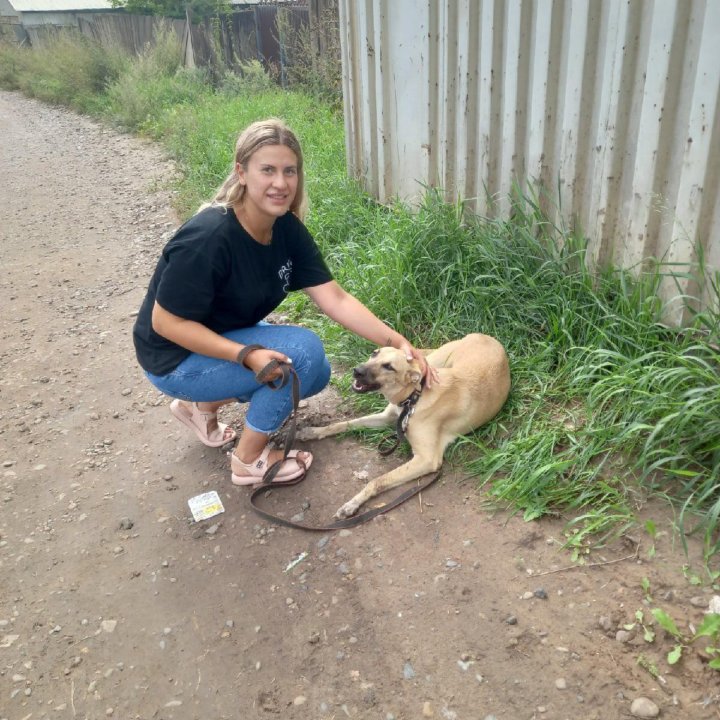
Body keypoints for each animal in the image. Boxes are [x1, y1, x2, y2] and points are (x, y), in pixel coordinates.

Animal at [298, 332, 512, 516]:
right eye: (374, 353)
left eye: (389, 367)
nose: (357, 371)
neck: (415, 397)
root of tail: (483, 335)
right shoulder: (387, 417)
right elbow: (348, 423)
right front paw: (313, 431)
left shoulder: (427, 459)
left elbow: (377, 481)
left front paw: (353, 503)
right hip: (435, 362)